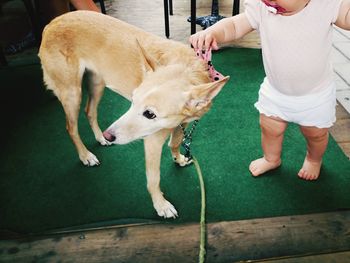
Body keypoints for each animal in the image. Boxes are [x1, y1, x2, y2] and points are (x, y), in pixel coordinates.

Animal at [39, 10, 230, 219]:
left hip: (97, 83)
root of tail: (52, 23)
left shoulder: (182, 124)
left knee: (90, 112)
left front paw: (178, 159)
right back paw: (86, 155)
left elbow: (175, 143)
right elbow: (154, 179)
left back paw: (100, 138)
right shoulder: (152, 141)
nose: (109, 135)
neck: (189, 70)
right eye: (132, 100)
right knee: (71, 128)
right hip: (72, 92)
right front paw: (161, 205)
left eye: (149, 114)